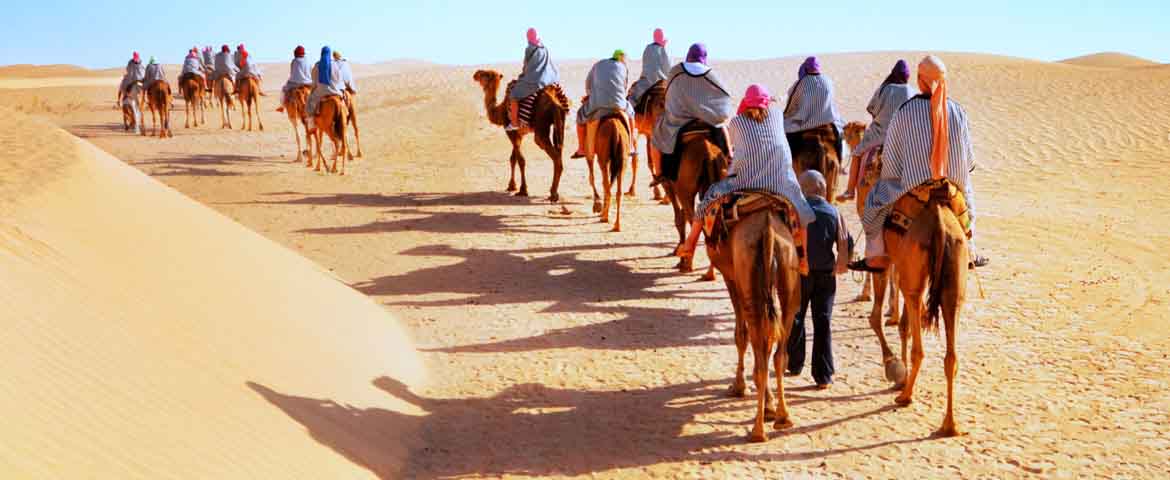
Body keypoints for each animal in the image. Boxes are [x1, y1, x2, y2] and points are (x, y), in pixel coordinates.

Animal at [472, 69, 568, 200]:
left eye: (484, 74)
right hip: (560, 123)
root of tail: (555, 100)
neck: (500, 110)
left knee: (552, 153)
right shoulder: (519, 134)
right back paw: (554, 192)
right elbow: (513, 158)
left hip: (541, 127)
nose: (475, 74)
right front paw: (512, 186)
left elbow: (520, 160)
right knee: (560, 149)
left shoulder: (510, 131)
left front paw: (523, 190)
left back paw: (553, 193)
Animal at [664, 128, 725, 280]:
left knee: (695, 221)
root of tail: (708, 153)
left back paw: (687, 265)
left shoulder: (670, 186)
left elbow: (679, 218)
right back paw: (710, 273)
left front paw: (680, 258)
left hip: (685, 191)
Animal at [702, 202, 804, 442]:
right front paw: (769, 407)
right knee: (778, 355)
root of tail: (768, 231)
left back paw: (758, 431)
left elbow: (740, 335)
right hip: (789, 279)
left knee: (759, 355)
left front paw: (739, 387)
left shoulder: (731, 277)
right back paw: (783, 418)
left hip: (748, 280)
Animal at [884, 181, 968, 437]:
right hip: (955, 278)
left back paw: (905, 395)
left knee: (917, 342)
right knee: (951, 354)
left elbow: (904, 325)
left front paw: (899, 377)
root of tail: (939, 223)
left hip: (913, 276)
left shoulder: (899, 267)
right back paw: (950, 425)